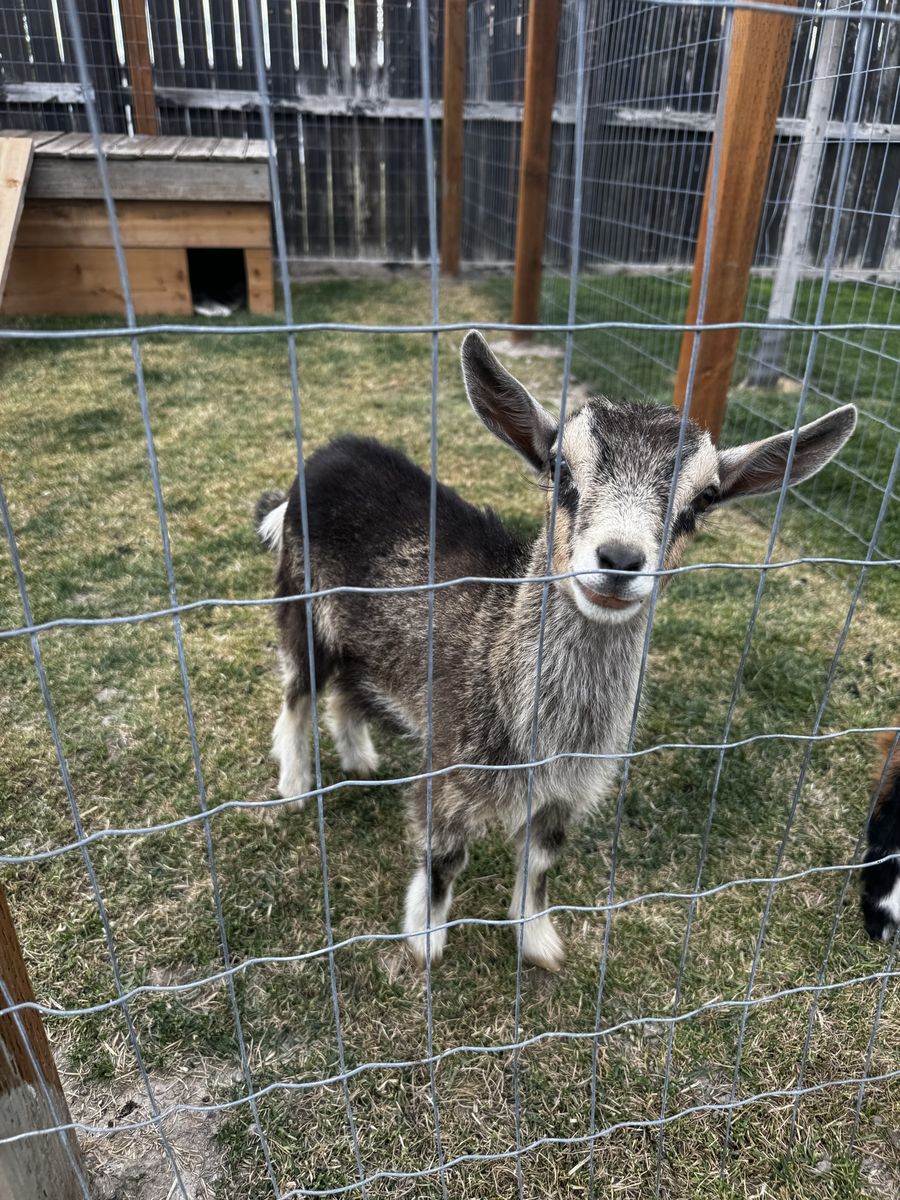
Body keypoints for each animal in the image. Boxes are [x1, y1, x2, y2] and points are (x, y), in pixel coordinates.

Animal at [256, 331, 856, 970]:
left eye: (704, 498)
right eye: (562, 469)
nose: (619, 559)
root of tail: (322, 459)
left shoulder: (567, 792)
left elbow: (541, 862)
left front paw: (538, 941)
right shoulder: (451, 769)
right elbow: (442, 858)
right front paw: (426, 940)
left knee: (346, 689)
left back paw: (359, 758)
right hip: (300, 600)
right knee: (297, 691)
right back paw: (295, 784)